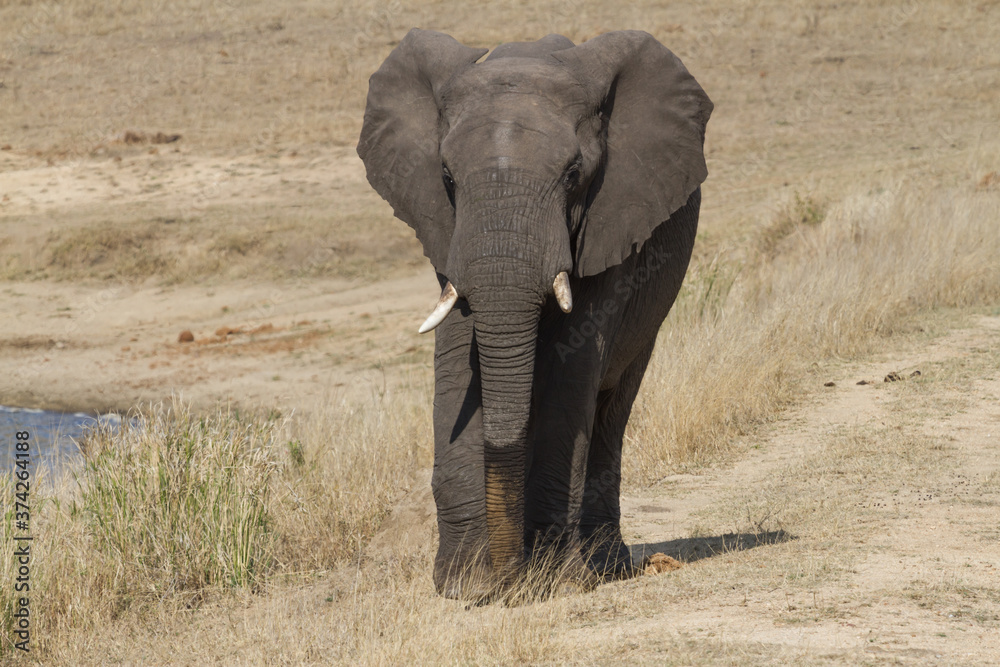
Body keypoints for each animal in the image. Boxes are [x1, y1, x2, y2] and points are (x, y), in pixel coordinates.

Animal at [357, 29, 712, 600]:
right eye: (446, 176)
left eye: (573, 174)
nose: (509, 580)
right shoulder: (448, 233)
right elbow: (457, 363)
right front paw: (466, 587)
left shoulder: (610, 222)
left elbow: (572, 374)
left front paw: (551, 583)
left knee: (613, 406)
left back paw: (603, 566)